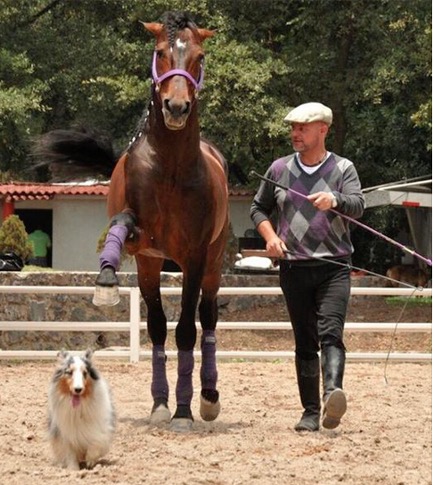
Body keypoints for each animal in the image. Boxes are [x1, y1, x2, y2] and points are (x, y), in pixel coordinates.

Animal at [35, 10, 229, 432]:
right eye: (159, 52)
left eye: (200, 57)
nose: (176, 107)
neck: (170, 166)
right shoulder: (143, 244)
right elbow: (121, 226)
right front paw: (106, 280)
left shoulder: (193, 257)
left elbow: (186, 330)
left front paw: (184, 412)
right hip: (151, 265)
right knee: (156, 326)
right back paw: (161, 401)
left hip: (213, 260)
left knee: (207, 318)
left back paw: (207, 399)